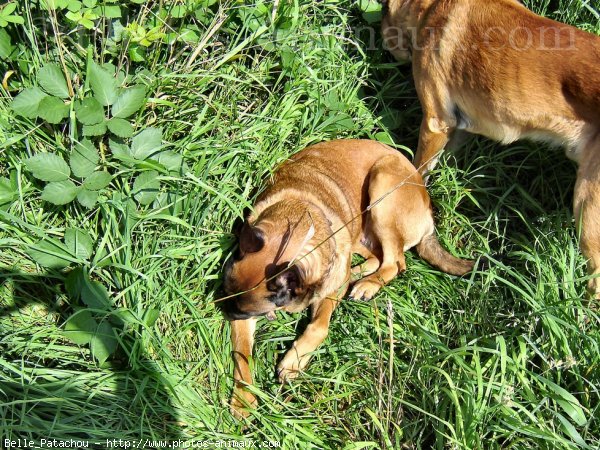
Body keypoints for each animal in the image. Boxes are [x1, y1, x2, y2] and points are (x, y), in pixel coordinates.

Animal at [220, 139, 474, 416]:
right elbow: (242, 354)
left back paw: (367, 284)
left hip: (383, 188)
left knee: (394, 262)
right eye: (229, 301)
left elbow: (319, 326)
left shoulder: (327, 295)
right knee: (379, 257)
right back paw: (357, 274)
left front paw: (294, 361)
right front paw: (243, 399)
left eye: (240, 311)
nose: (224, 312)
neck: (301, 230)